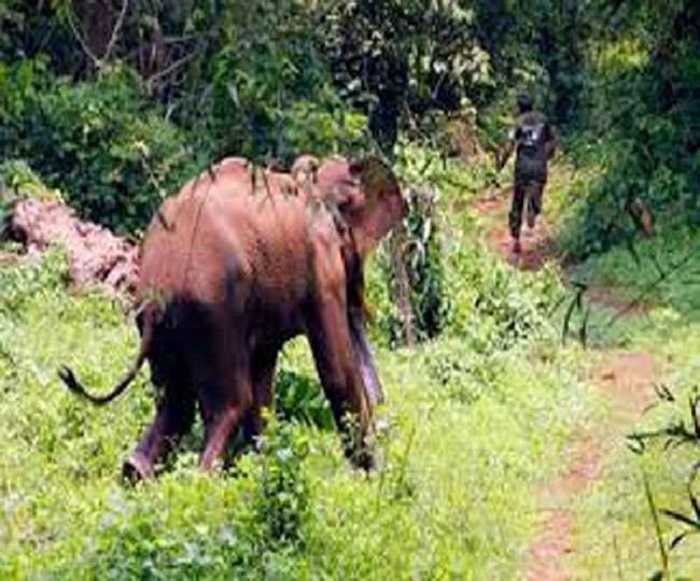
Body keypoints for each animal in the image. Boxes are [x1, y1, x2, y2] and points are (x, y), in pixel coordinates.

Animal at [60, 154, 408, 480]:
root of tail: (160, 281)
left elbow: (263, 379)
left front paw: (265, 465)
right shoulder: (322, 271)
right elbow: (335, 372)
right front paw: (369, 478)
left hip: (162, 320)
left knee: (175, 403)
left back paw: (135, 472)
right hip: (213, 312)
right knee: (230, 402)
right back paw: (204, 479)